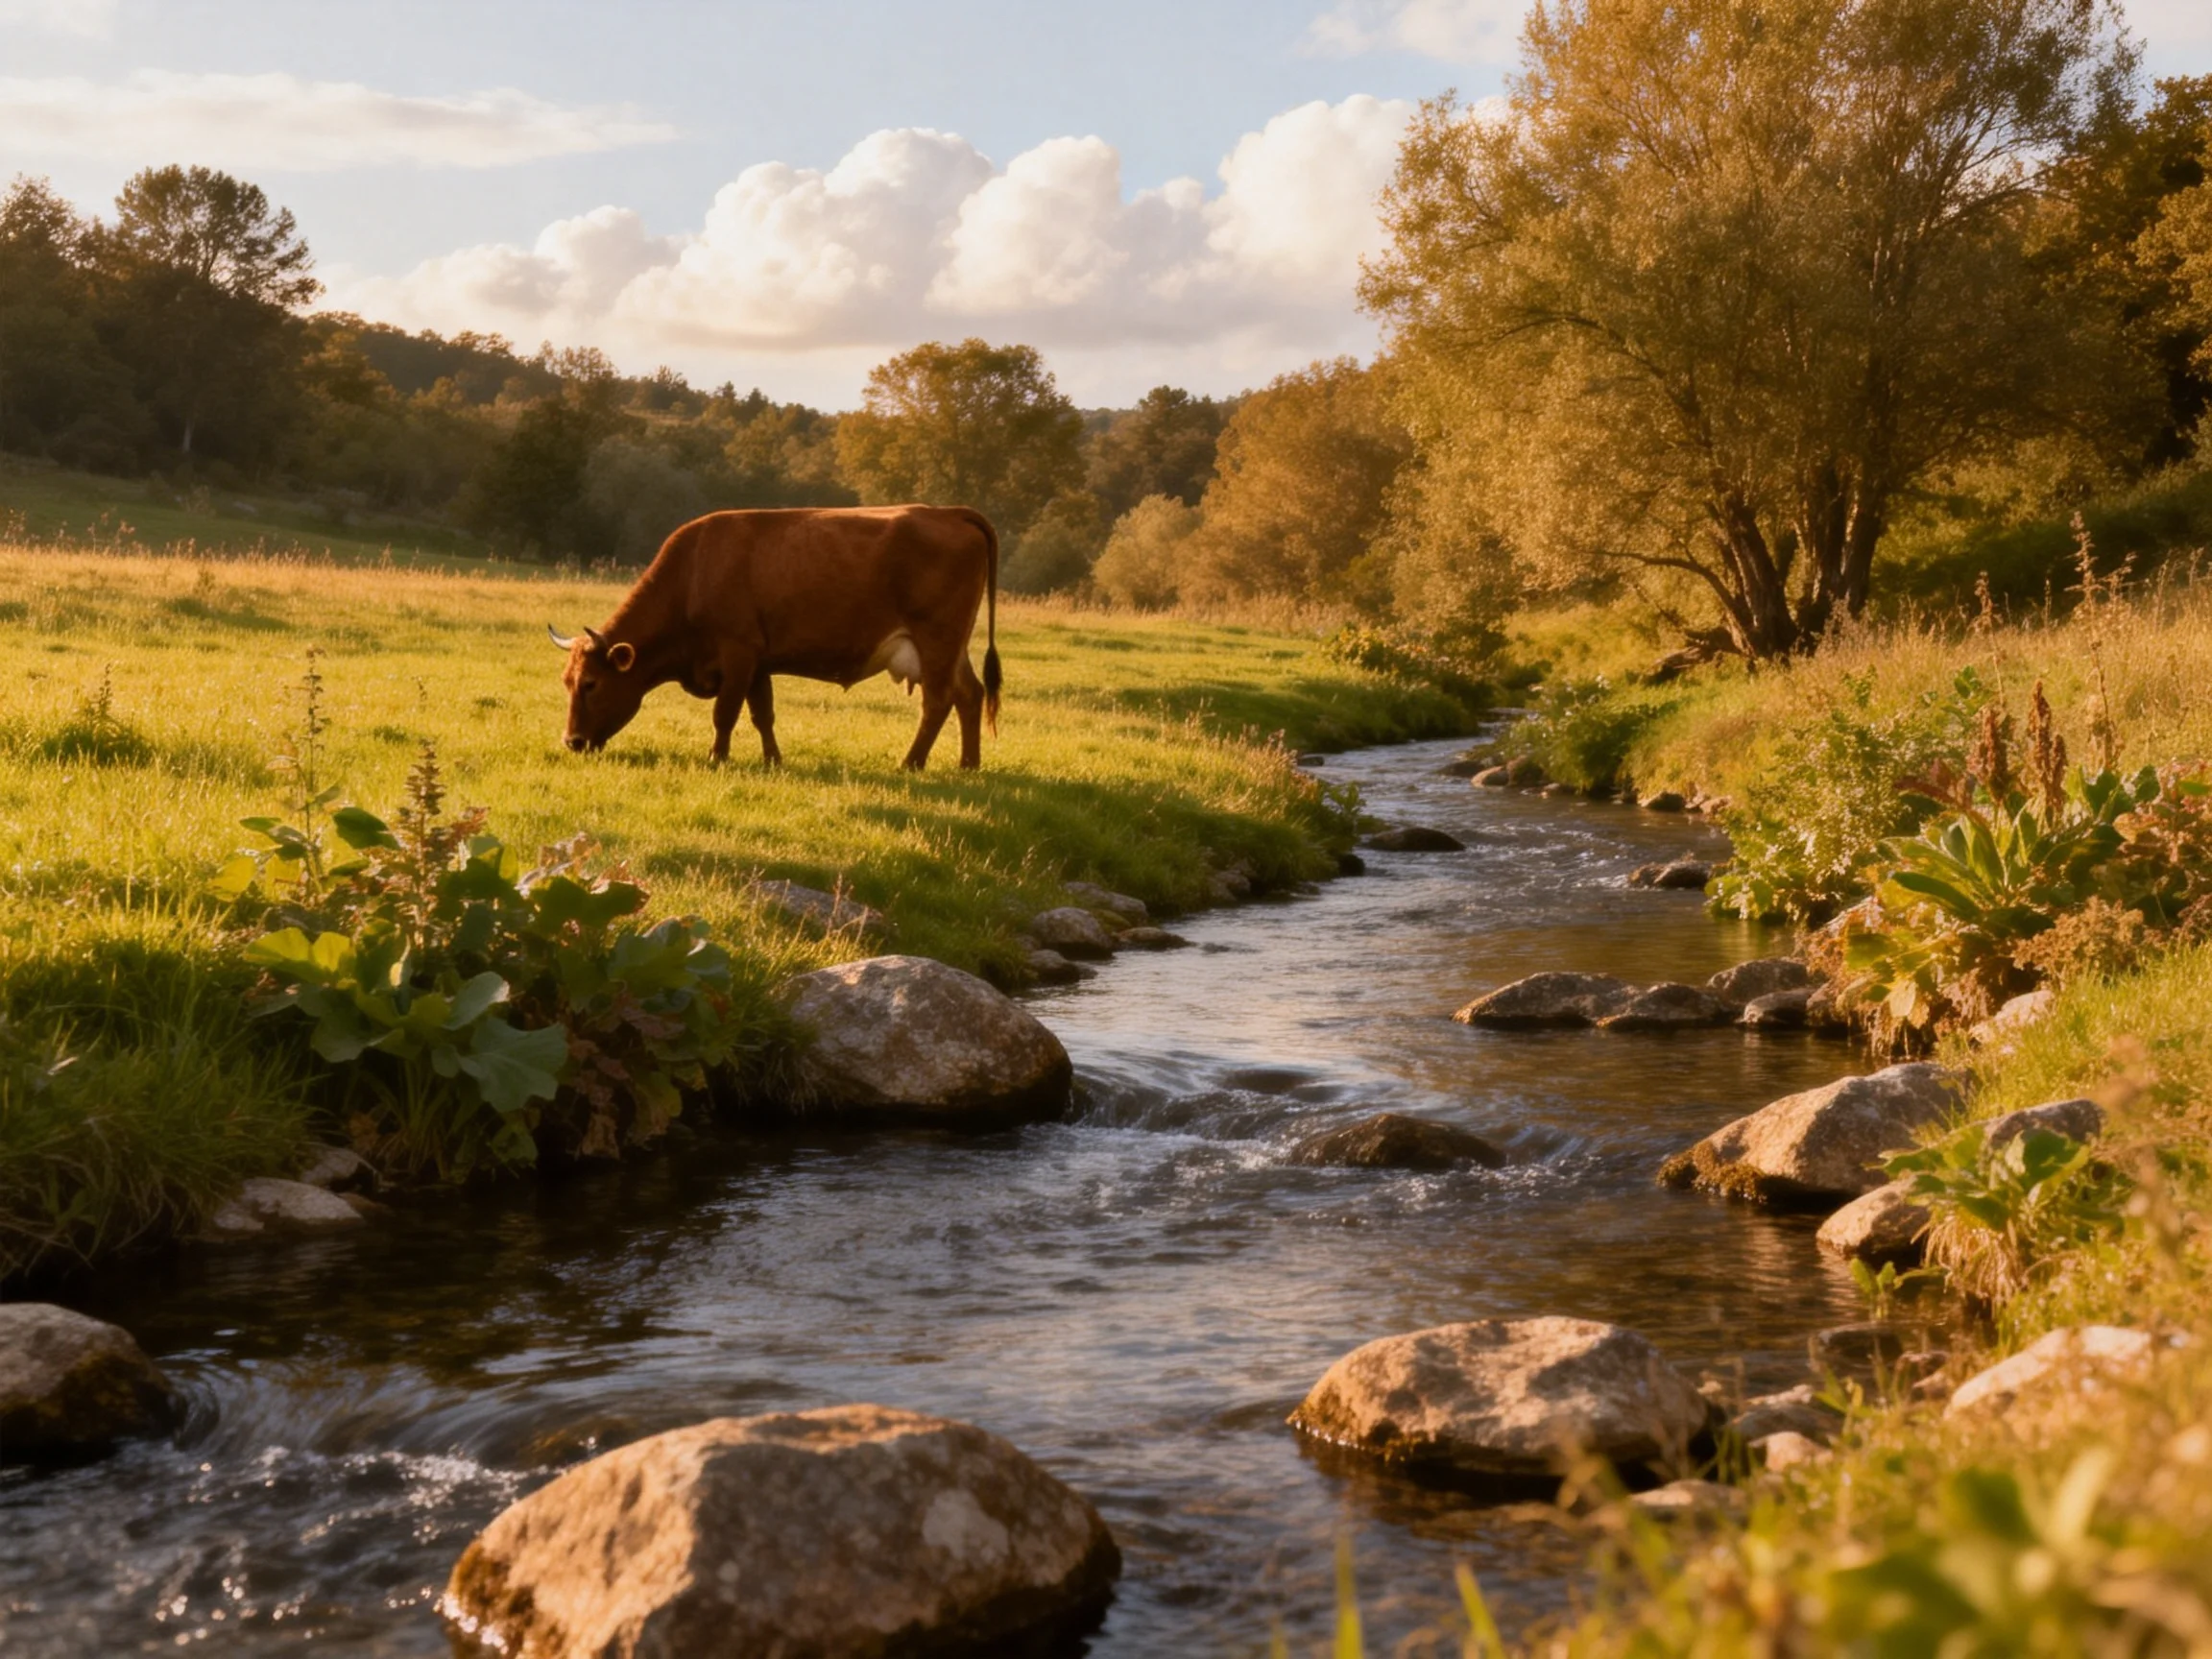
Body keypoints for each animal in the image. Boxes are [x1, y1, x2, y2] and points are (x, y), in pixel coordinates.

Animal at [548, 505, 1002, 769]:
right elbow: (762, 714)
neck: (694, 573)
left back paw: (911, 763)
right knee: (970, 694)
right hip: (952, 648)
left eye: (591, 683)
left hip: (936, 641)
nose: (571, 741)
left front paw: (717, 757)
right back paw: (968, 764)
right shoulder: (758, 662)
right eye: (567, 682)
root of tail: (947, 511)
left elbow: (725, 713)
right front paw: (772, 760)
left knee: (938, 701)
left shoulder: (737, 654)